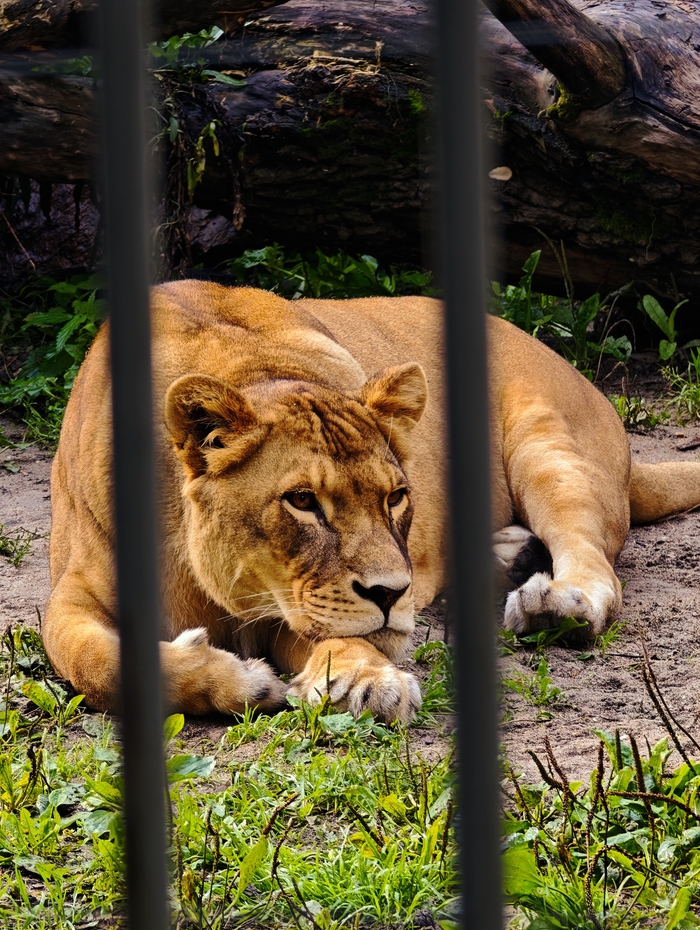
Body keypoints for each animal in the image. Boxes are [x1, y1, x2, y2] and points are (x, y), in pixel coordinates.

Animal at [43, 282, 700, 723]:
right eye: (302, 501)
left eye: (397, 497)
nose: (391, 593)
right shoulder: (71, 593)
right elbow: (94, 663)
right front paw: (241, 680)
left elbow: (340, 637)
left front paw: (358, 679)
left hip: (548, 445)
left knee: (595, 562)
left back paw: (554, 605)